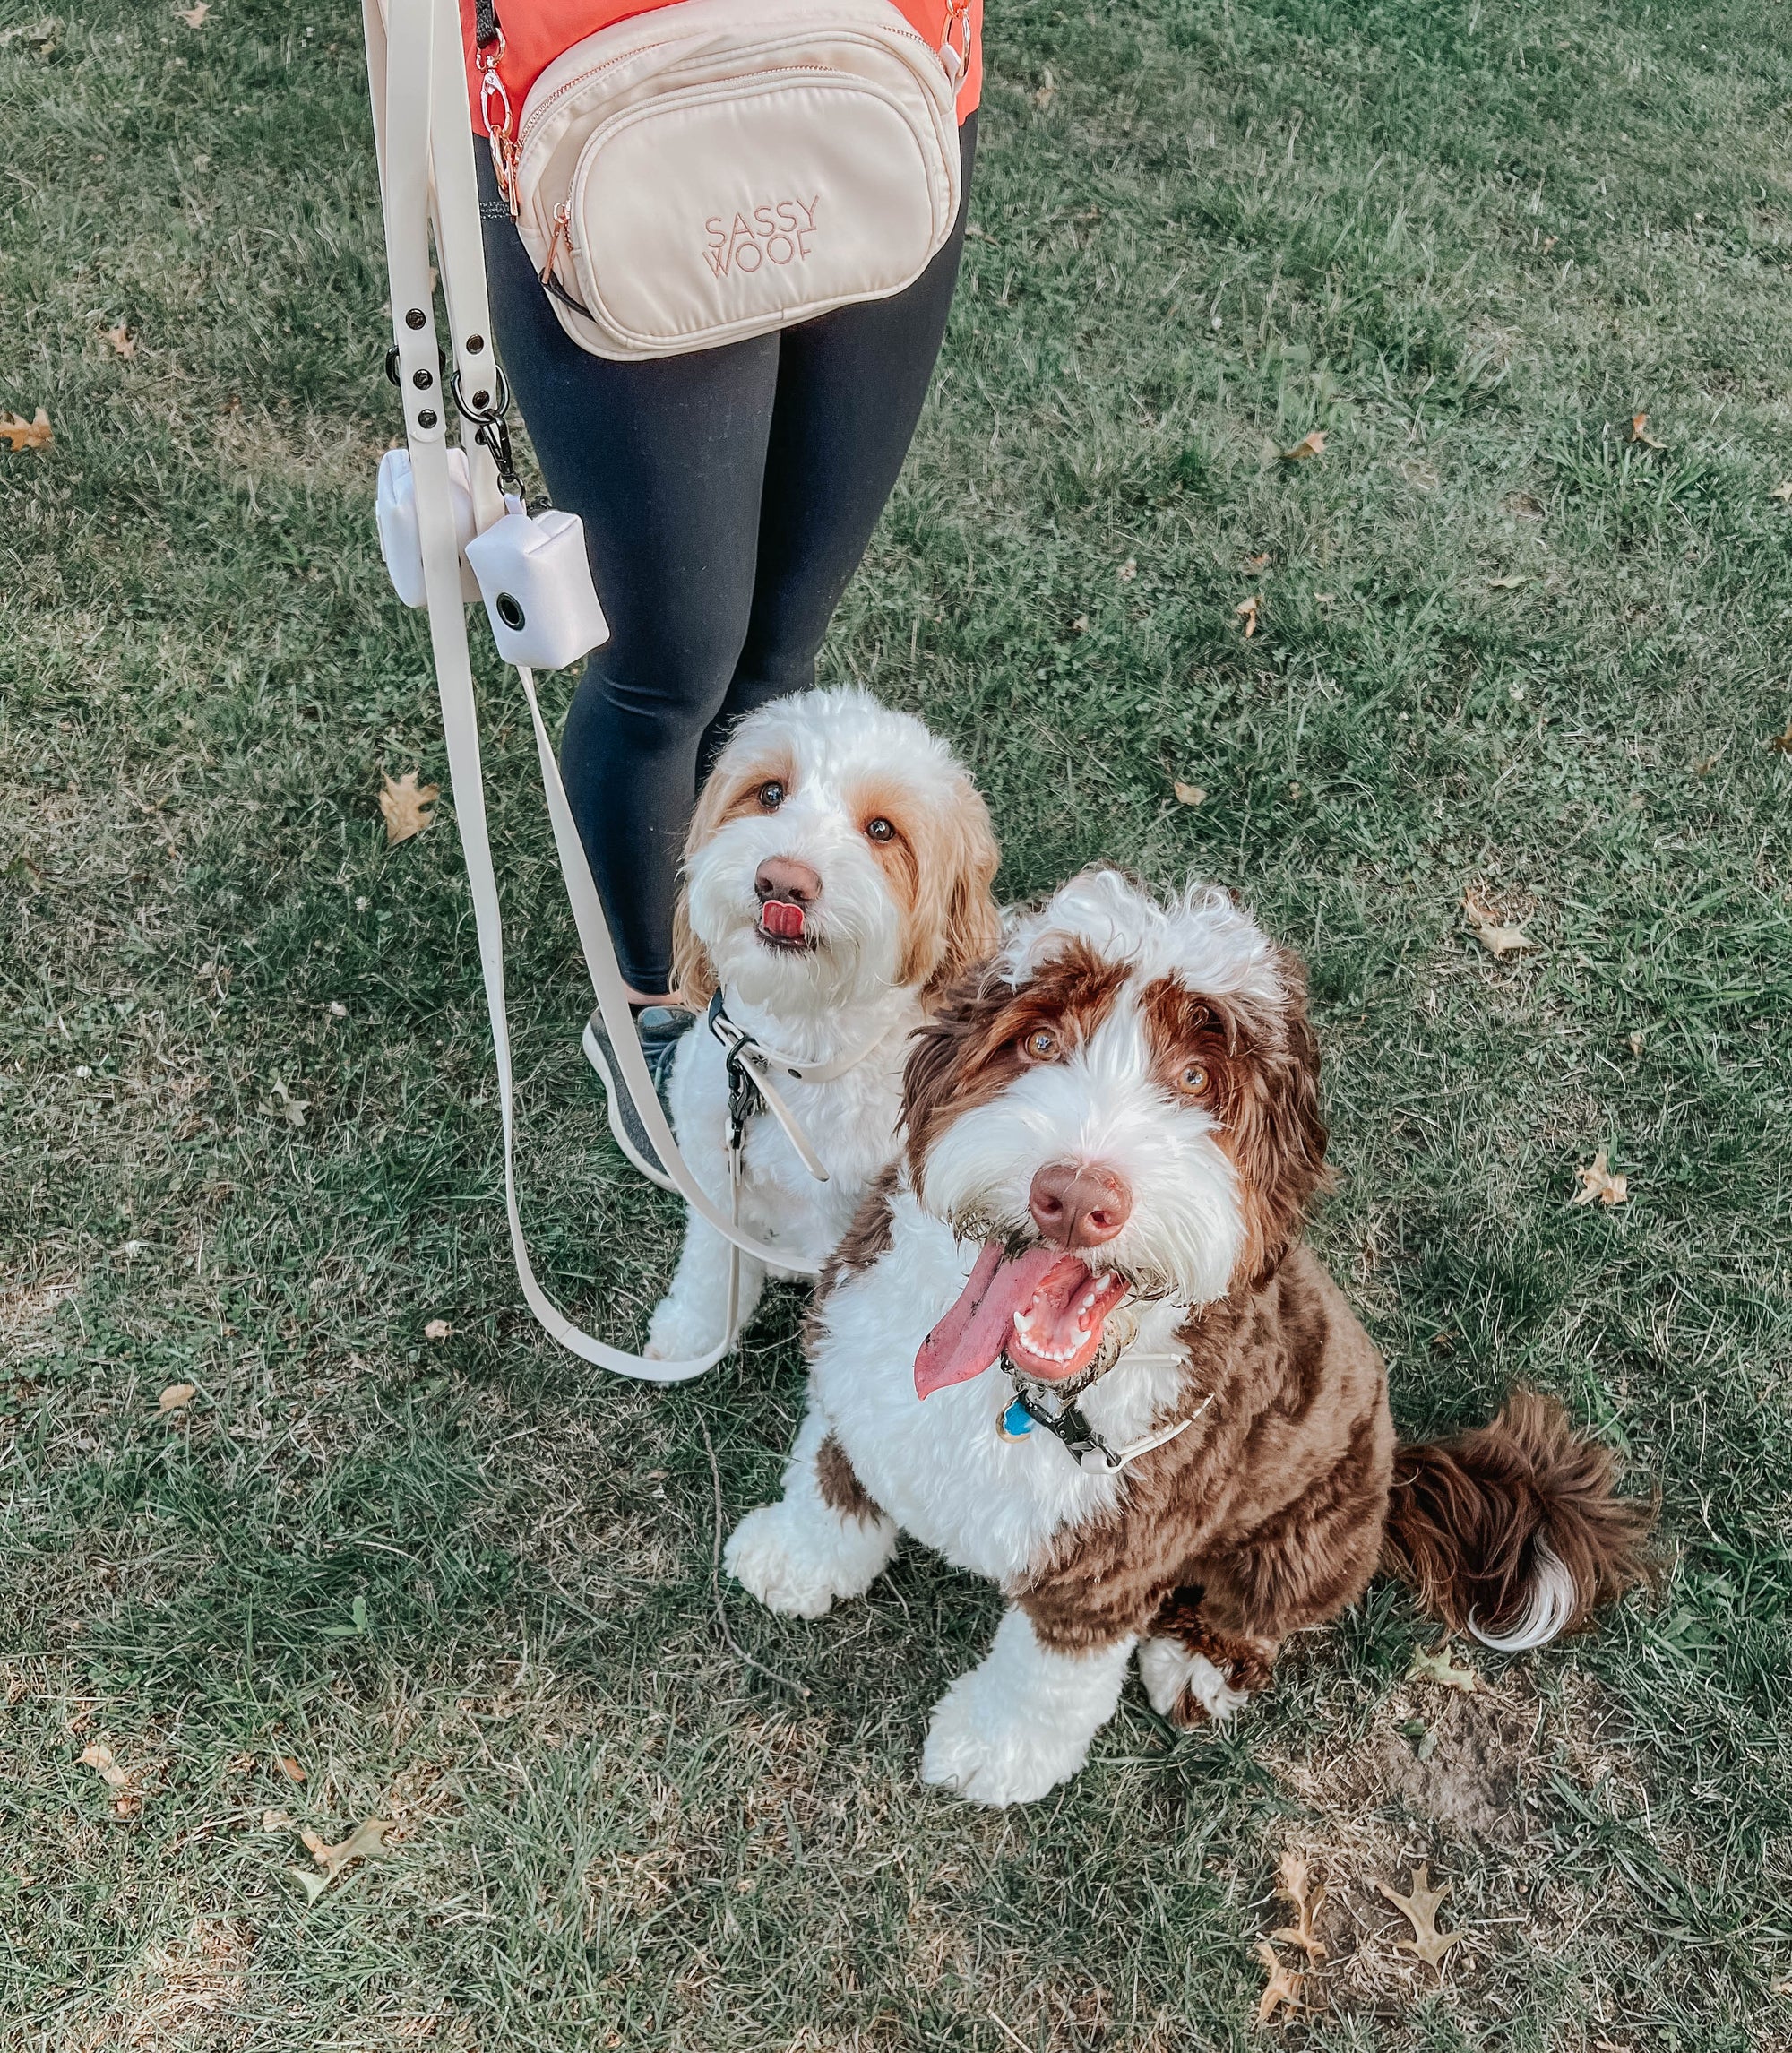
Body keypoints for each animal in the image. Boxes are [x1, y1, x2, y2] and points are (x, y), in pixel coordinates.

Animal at [648, 686, 1005, 1363]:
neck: (800, 1059)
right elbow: (711, 1262)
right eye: (769, 793)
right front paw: (693, 1332)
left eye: (882, 830)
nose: (783, 881)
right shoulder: (715, 1165)